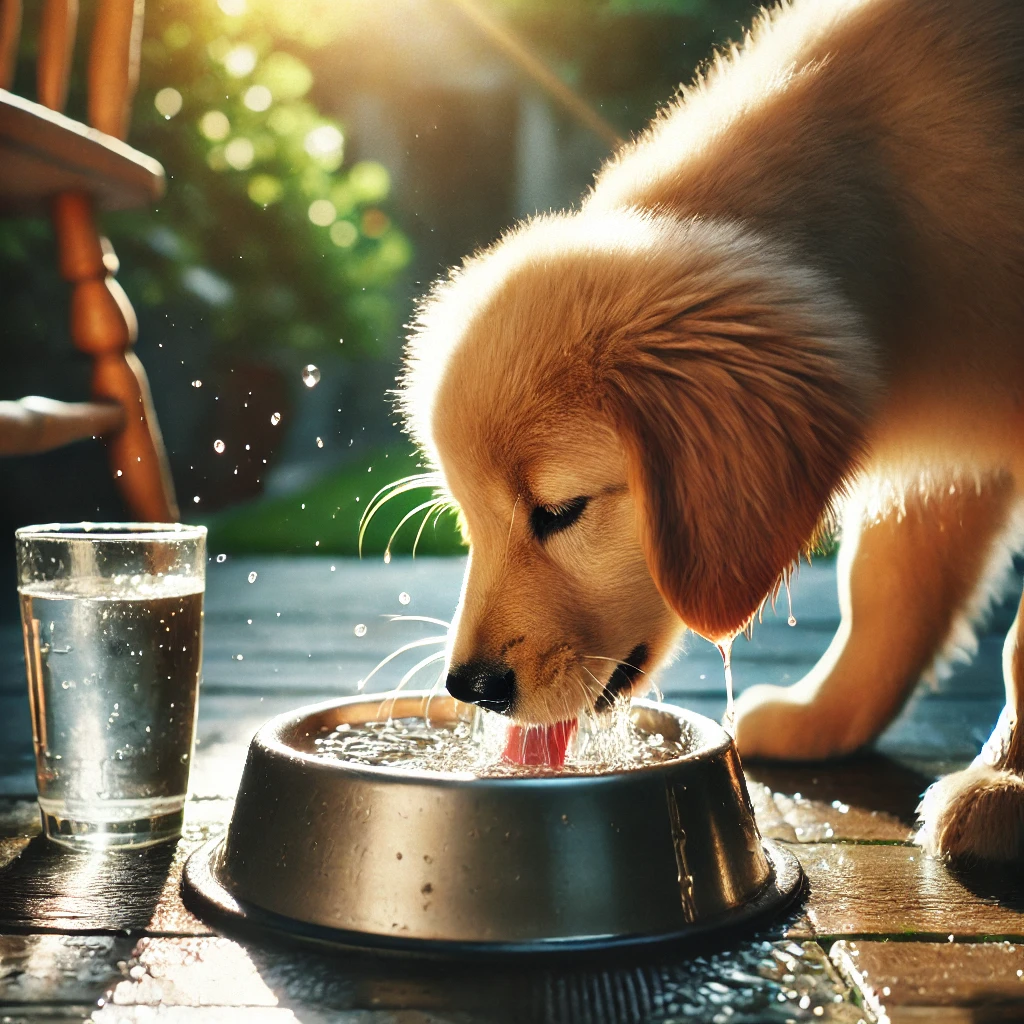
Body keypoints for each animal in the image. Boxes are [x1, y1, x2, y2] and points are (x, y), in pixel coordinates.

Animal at [395, 0, 1024, 864]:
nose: (470, 688)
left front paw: (1005, 788)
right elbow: (883, 585)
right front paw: (823, 716)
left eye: (560, 511)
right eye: (467, 518)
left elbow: (1015, 640)